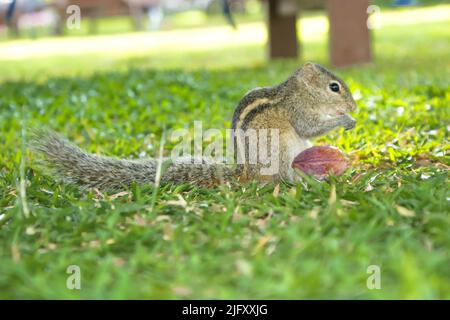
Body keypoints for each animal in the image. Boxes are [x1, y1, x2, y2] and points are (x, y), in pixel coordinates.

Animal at [29, 62, 356, 190]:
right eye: (334, 87)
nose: (353, 106)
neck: (300, 92)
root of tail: (245, 173)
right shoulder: (297, 110)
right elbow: (309, 126)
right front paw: (345, 119)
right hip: (283, 153)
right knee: (282, 178)